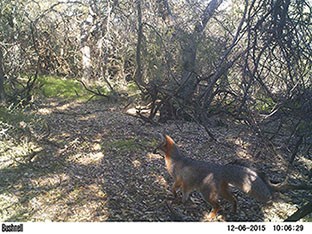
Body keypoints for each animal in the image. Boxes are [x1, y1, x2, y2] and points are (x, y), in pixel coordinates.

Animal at [154, 134, 310, 220]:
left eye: (157, 147)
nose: (153, 150)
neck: (175, 160)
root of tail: (221, 168)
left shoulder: (179, 180)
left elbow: (174, 189)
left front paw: (176, 199)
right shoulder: (186, 184)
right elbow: (184, 195)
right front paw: (180, 202)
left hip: (207, 194)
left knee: (219, 206)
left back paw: (210, 216)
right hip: (222, 192)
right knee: (234, 199)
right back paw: (233, 211)